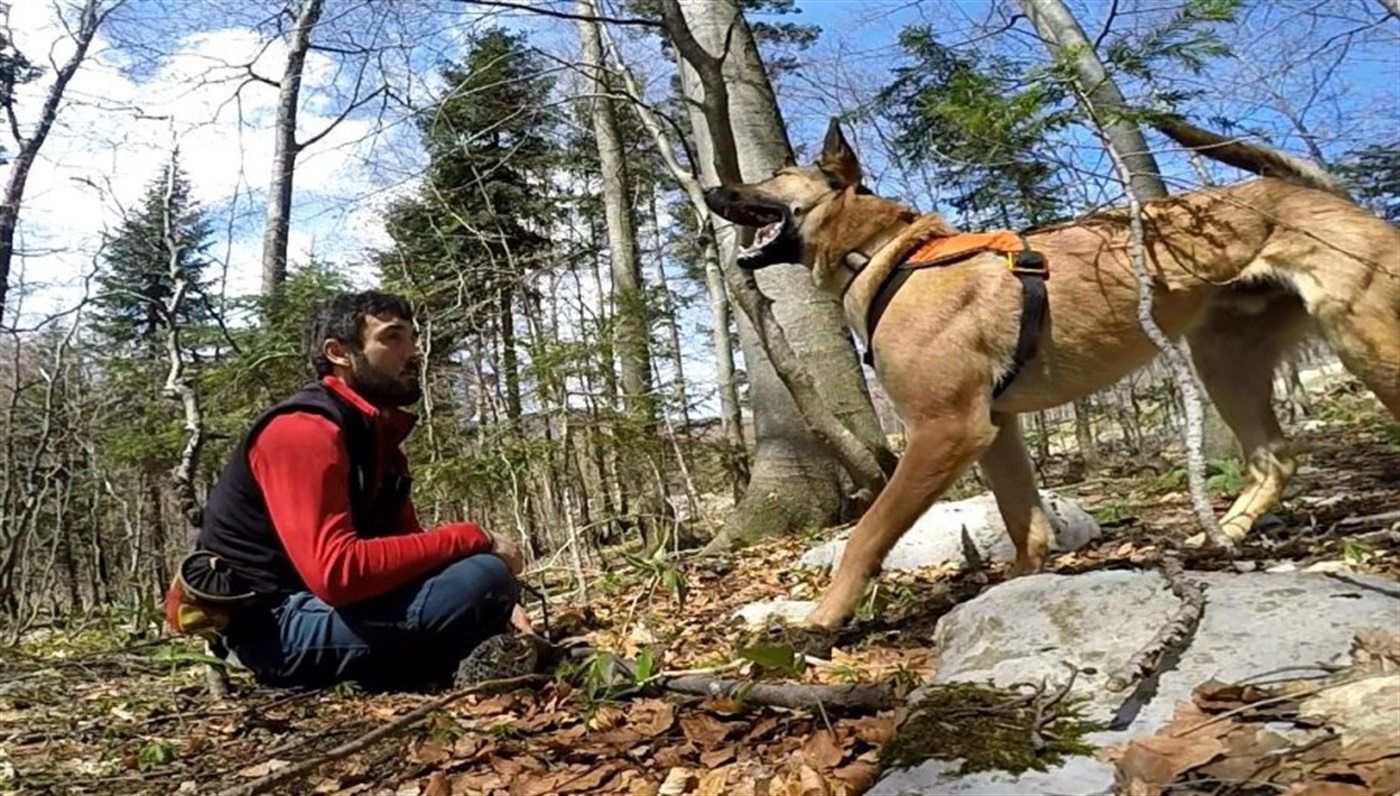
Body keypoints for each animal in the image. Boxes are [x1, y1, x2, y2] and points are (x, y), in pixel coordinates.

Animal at [711, 118, 1400, 629]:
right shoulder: (995, 429)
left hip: (1363, 340)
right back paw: (1221, 537)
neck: (886, 255)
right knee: (1272, 457)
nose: (714, 192)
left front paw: (822, 619)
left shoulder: (945, 429)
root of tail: (1327, 195)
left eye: (775, 176)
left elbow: (866, 535)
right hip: (1223, 358)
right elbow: (1026, 523)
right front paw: (1017, 588)